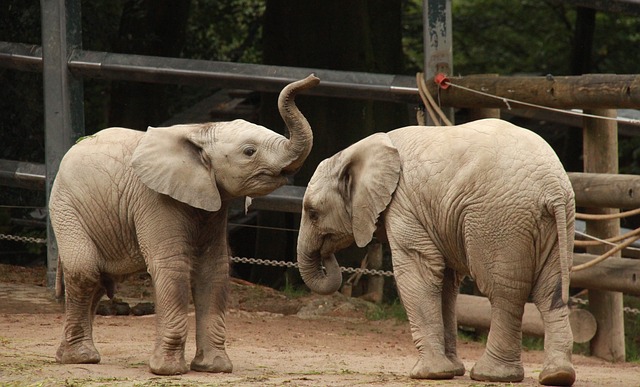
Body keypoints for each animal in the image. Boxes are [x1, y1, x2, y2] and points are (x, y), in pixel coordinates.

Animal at [50, 74, 320, 374]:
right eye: (249, 152)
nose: (313, 78)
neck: (199, 132)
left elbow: (214, 268)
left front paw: (214, 368)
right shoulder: (154, 199)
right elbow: (172, 266)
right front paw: (168, 370)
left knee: (98, 280)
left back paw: (72, 355)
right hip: (66, 207)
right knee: (85, 272)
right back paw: (80, 359)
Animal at [298, 119, 576, 387]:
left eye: (313, 213)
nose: (327, 252)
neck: (357, 150)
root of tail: (553, 187)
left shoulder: (403, 206)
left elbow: (418, 273)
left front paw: (428, 374)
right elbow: (446, 285)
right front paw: (451, 370)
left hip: (499, 219)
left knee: (503, 292)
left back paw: (491, 375)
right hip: (559, 221)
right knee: (550, 291)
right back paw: (557, 376)